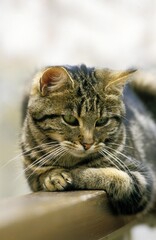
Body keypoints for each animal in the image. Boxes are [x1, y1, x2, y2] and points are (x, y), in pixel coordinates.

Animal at [20, 64, 156, 215]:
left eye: (102, 121)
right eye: (70, 119)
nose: (87, 144)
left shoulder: (143, 179)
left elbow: (114, 177)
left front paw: (73, 174)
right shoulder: (32, 173)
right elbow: (40, 175)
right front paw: (53, 175)